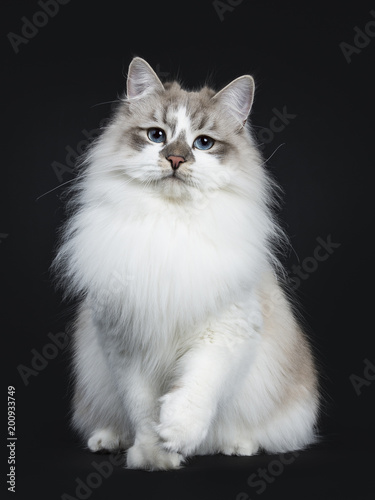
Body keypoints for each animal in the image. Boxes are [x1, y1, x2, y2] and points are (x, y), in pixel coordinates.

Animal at [54, 57, 320, 468]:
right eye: (156, 136)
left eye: (203, 143)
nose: (175, 159)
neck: (172, 223)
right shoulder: (126, 344)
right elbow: (143, 409)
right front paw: (154, 456)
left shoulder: (222, 333)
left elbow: (195, 391)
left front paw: (177, 436)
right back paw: (107, 440)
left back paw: (236, 446)